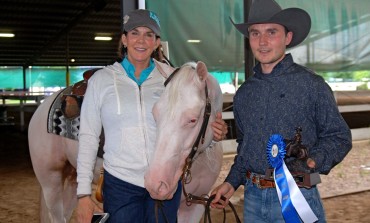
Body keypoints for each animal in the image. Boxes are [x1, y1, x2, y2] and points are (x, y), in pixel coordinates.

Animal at [28, 61, 223, 223]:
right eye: (155, 113)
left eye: (192, 119)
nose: (156, 183)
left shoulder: (196, 205)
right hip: (51, 180)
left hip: (71, 178)